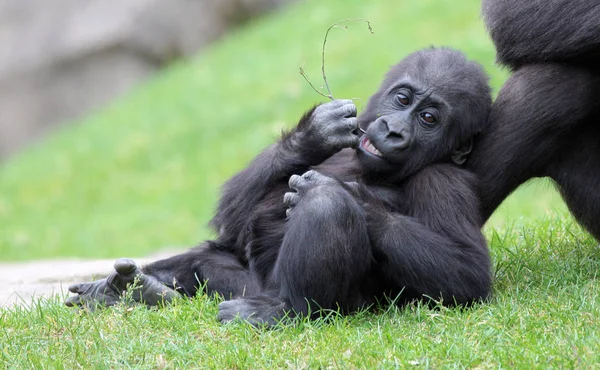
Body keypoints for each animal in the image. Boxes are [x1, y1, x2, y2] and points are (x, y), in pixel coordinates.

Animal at [68, 47, 494, 326]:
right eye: (403, 98)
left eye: (428, 118)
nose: (394, 131)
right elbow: (232, 220)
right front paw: (314, 135)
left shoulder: (443, 180)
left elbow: (467, 274)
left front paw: (358, 198)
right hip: (245, 282)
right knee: (212, 257)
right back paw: (132, 290)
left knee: (325, 206)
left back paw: (287, 310)